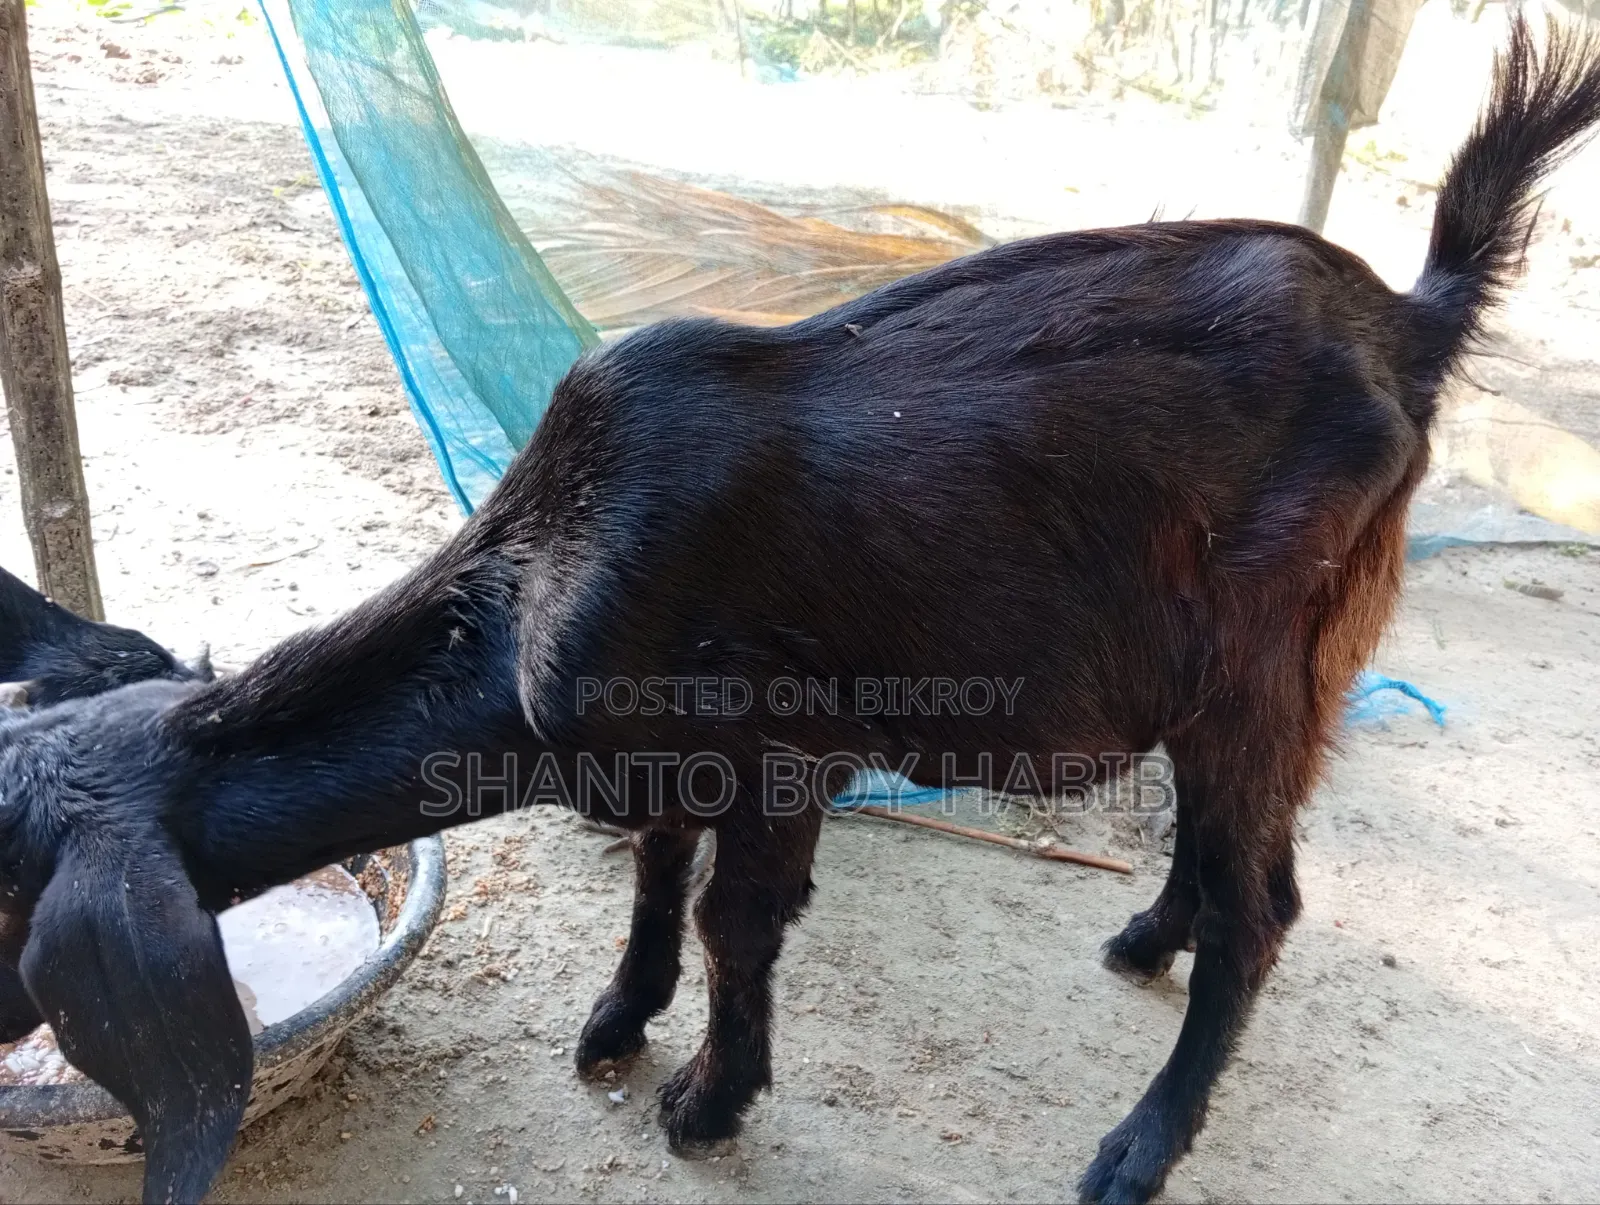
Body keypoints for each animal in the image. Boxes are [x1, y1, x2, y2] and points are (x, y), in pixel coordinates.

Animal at [1, 17, 1597, 1204]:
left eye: (11, 887)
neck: (537, 584)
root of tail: (1408, 319)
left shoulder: (780, 752)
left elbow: (734, 918)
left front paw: (707, 1101)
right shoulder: (663, 754)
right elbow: (657, 872)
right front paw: (617, 1021)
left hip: (1271, 644)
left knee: (1266, 899)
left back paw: (1139, 1146)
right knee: (1229, 850)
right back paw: (1150, 936)